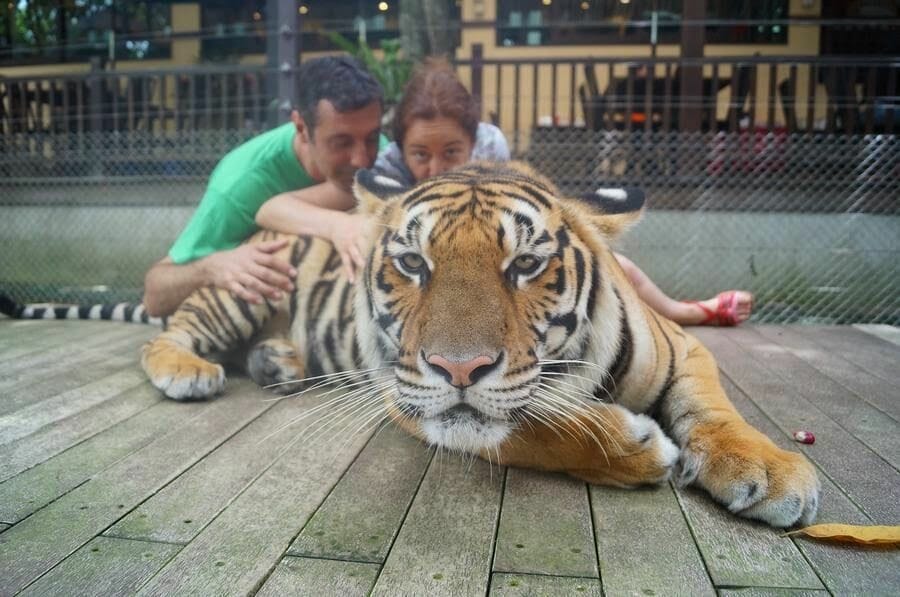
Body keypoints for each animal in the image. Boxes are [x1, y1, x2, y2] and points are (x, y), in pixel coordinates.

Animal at [140, 160, 819, 528]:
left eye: (525, 265)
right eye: (413, 262)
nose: (457, 368)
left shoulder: (684, 348)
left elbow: (713, 408)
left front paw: (767, 470)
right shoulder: (407, 396)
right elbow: (534, 428)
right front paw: (633, 446)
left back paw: (278, 361)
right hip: (243, 287)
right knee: (169, 331)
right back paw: (188, 370)